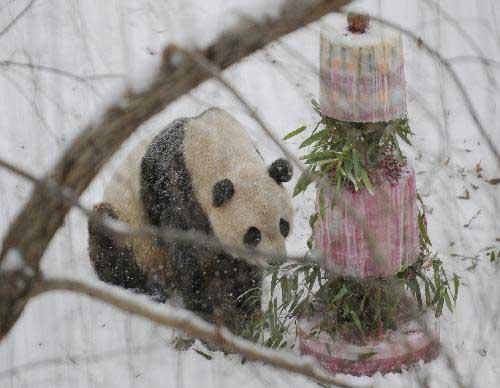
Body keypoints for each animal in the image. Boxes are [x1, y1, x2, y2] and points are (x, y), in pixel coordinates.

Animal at [88, 107, 292, 332]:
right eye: (253, 234)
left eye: (283, 225)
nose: (275, 260)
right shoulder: (176, 192)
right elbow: (189, 257)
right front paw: (209, 312)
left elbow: (240, 268)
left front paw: (249, 311)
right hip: (129, 226)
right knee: (111, 240)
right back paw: (144, 289)